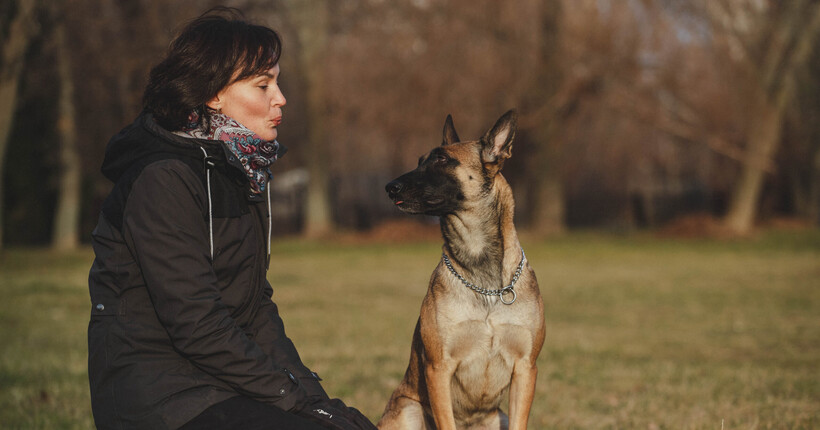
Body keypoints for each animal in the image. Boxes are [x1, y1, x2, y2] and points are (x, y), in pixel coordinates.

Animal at [382, 111, 548, 430]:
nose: (389, 187)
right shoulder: (438, 369)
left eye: (442, 159)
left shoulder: (526, 368)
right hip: (409, 409)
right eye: (420, 160)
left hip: (499, 415)